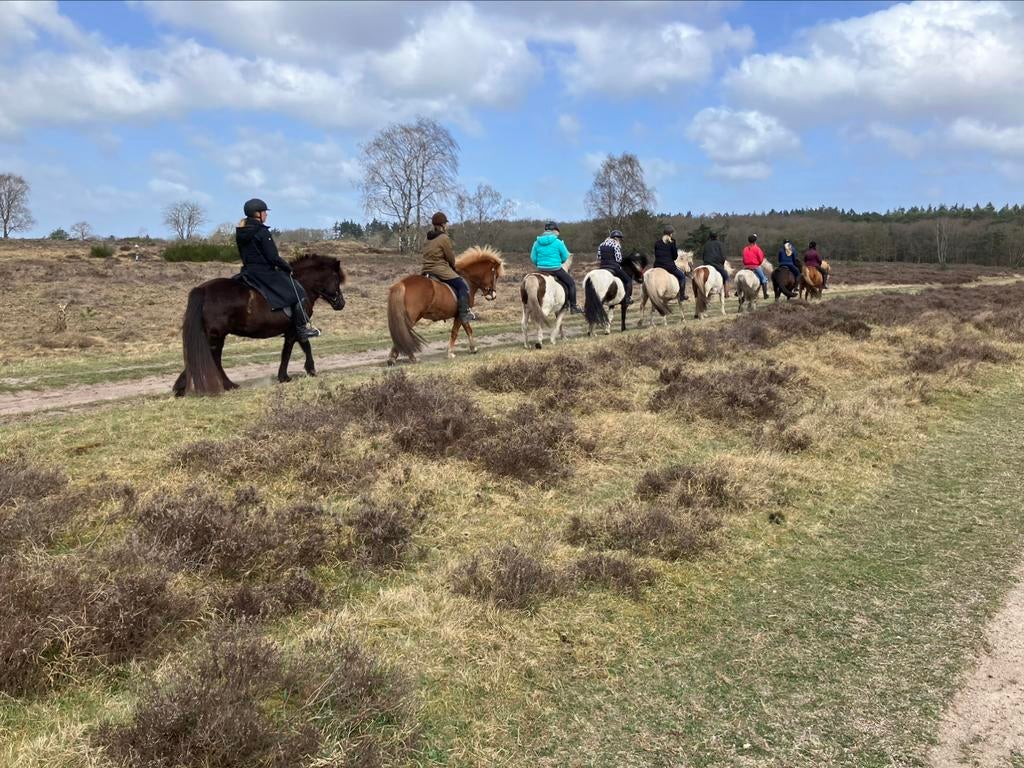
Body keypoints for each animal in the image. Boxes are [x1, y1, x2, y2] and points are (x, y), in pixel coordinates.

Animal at [172, 254, 346, 396]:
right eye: (336, 279)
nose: (341, 304)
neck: (301, 284)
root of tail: (202, 290)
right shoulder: (296, 328)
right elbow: (295, 349)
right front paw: (298, 373)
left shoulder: (293, 329)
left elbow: (297, 348)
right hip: (216, 335)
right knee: (215, 358)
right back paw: (228, 385)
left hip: (213, 335)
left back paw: (181, 387)